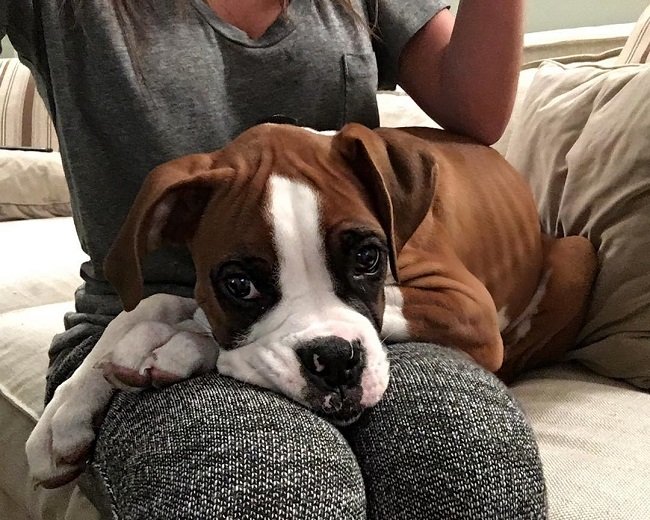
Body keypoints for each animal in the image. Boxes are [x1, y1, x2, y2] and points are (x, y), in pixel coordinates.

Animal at [26, 123, 596, 488]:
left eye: (368, 256)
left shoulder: (469, 311)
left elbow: (198, 323)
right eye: (240, 285)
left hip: (576, 254)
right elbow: (152, 303)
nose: (336, 361)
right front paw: (66, 411)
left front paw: (178, 345)